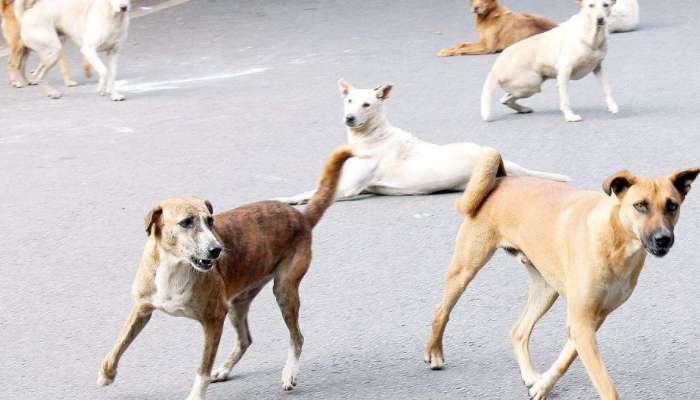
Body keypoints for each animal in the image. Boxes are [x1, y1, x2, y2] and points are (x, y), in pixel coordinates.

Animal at [96, 147, 352, 400]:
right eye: (186, 222)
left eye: (210, 221)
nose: (216, 250)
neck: (175, 266)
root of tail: (301, 216)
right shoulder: (142, 308)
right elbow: (118, 344)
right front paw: (107, 374)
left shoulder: (214, 319)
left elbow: (202, 369)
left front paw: (196, 396)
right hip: (238, 304)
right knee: (246, 339)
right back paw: (225, 369)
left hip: (284, 289)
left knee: (296, 337)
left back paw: (289, 373)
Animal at [274, 79, 568, 206]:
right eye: (349, 100)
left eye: (366, 104)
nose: (349, 118)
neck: (372, 136)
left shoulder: (347, 188)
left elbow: (309, 193)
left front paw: (288, 200)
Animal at [424, 148, 696, 400]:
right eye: (640, 205)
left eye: (672, 206)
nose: (663, 239)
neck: (615, 240)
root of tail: (502, 179)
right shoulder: (581, 322)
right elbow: (605, 385)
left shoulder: (590, 320)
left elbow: (565, 360)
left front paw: (542, 386)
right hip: (465, 269)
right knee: (441, 310)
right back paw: (434, 352)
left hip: (546, 290)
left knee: (518, 331)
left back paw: (529, 374)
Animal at [482, 0, 616, 122]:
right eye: (591, 5)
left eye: (606, 5)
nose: (600, 19)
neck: (592, 35)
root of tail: (496, 67)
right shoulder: (564, 71)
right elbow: (565, 99)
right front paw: (569, 116)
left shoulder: (598, 68)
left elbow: (607, 88)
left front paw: (612, 105)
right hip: (533, 84)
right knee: (505, 99)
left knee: (505, 99)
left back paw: (523, 109)